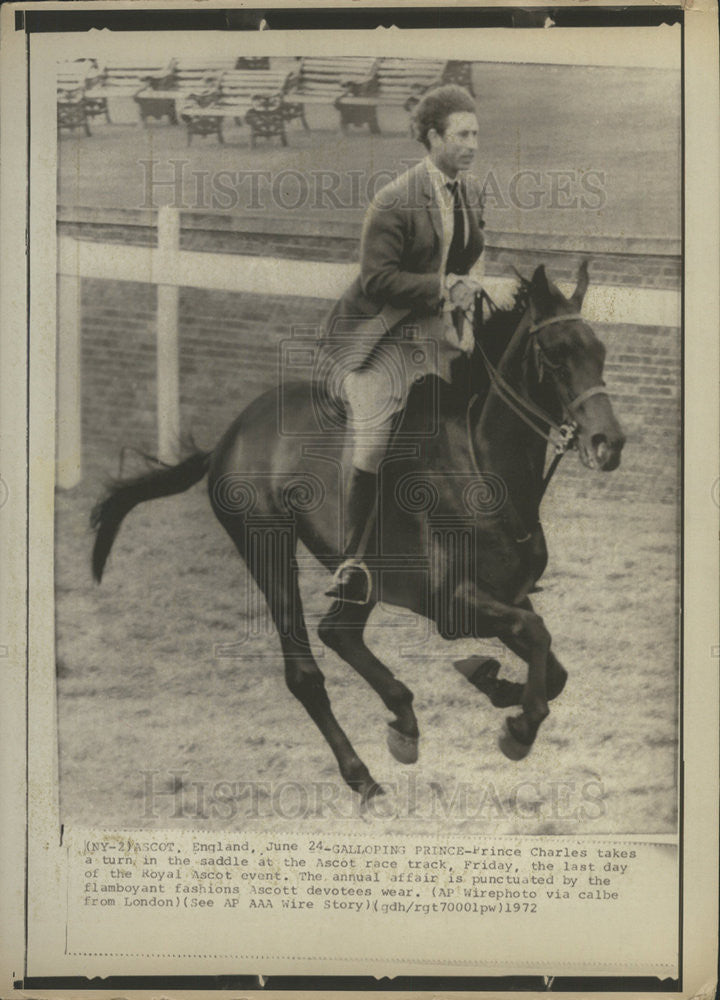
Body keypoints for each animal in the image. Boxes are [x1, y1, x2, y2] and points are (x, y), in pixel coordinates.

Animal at [91, 262, 624, 800]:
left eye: (600, 352)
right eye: (555, 354)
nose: (610, 443)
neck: (481, 466)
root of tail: (230, 433)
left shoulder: (511, 595)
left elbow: (553, 668)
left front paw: (491, 681)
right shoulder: (451, 604)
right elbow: (537, 637)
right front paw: (518, 726)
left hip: (363, 578)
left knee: (338, 631)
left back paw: (404, 719)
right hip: (267, 547)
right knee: (306, 671)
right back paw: (361, 772)